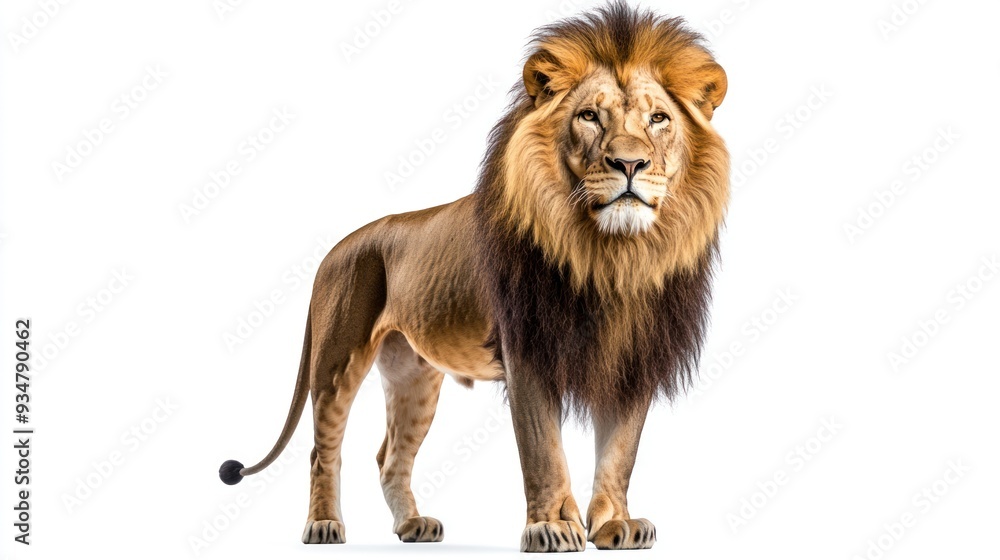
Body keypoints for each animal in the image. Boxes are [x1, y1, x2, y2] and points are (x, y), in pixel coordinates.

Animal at [218, 2, 728, 552]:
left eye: (659, 119)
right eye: (590, 116)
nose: (629, 163)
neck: (612, 256)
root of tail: (336, 249)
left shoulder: (635, 358)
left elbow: (620, 453)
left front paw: (615, 525)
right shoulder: (527, 351)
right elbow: (543, 451)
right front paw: (551, 526)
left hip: (414, 376)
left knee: (389, 456)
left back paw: (412, 525)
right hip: (337, 360)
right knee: (323, 450)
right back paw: (323, 525)